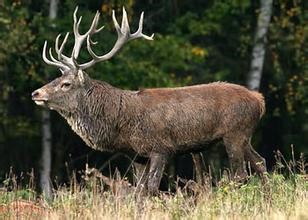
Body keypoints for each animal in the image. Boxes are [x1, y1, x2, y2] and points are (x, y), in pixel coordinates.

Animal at [31, 6, 268, 193]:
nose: (36, 93)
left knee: (240, 174)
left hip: (234, 132)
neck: (120, 122)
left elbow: (152, 188)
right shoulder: (138, 155)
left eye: (66, 84)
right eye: (56, 78)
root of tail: (259, 100)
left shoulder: (161, 147)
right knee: (260, 162)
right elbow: (139, 191)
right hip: (244, 135)